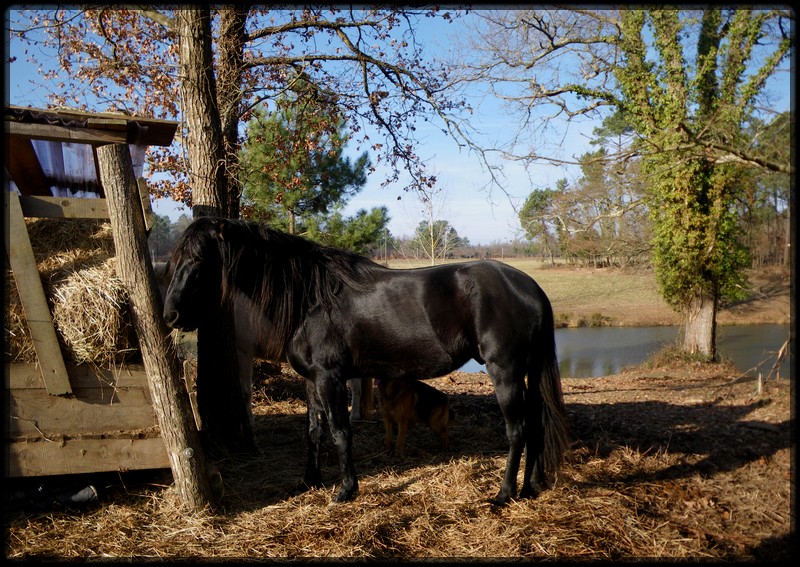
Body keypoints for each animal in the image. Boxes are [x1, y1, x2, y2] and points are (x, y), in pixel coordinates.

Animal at [162, 219, 568, 506]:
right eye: (173, 261)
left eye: (197, 260)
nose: (171, 315)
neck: (310, 298)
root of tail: (530, 287)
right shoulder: (311, 380)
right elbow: (313, 431)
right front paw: (309, 481)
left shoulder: (331, 378)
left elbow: (341, 432)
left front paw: (345, 490)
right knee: (535, 426)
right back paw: (531, 487)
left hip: (506, 372)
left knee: (517, 430)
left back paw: (503, 494)